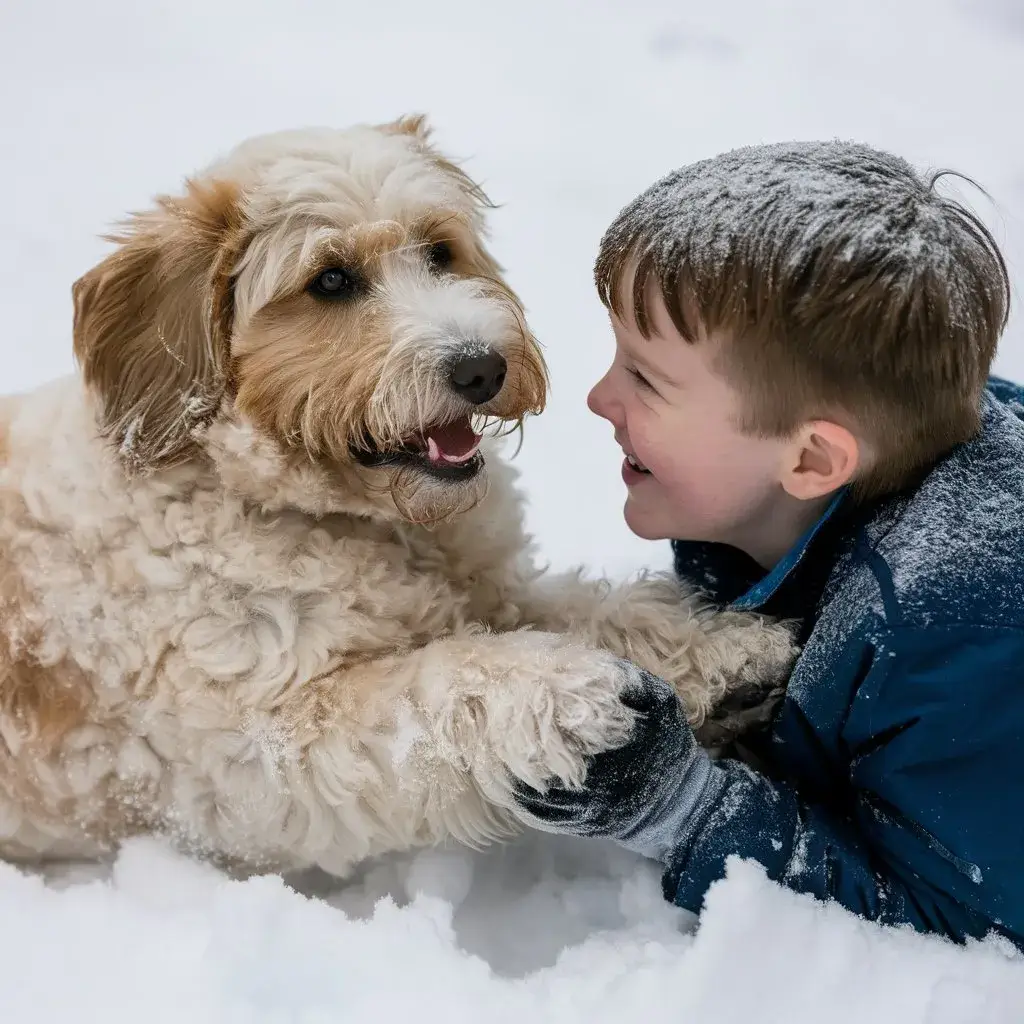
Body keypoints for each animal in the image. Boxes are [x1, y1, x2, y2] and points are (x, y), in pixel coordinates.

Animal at [0, 116, 790, 876]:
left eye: (440, 252)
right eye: (330, 280)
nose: (481, 367)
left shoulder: (494, 589)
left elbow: (590, 610)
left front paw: (727, 649)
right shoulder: (262, 749)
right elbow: (446, 681)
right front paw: (572, 694)